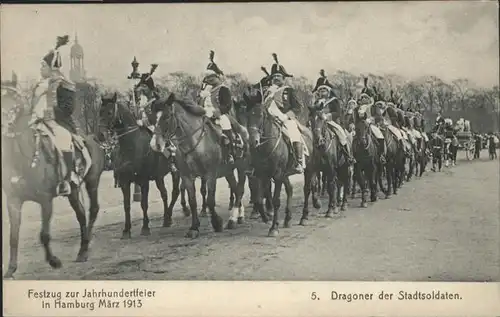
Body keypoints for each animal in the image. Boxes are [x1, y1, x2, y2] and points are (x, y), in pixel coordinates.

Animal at [1, 84, 105, 276]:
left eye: (14, 105)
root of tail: (92, 139)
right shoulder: (13, 201)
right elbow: (13, 236)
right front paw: (11, 269)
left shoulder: (45, 200)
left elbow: (44, 234)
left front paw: (54, 261)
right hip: (73, 190)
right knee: (81, 214)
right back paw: (82, 250)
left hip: (92, 182)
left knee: (93, 210)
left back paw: (85, 248)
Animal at [96, 92, 181, 237]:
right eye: (99, 112)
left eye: (109, 112)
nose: (100, 135)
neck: (131, 146)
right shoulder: (124, 181)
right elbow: (126, 205)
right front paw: (126, 230)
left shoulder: (143, 180)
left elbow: (144, 203)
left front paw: (145, 227)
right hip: (159, 177)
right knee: (164, 194)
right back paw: (166, 219)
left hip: (176, 173)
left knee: (175, 192)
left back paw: (171, 215)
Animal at [149, 92, 249, 237]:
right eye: (151, 118)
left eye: (166, 117)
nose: (155, 145)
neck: (196, 142)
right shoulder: (186, 176)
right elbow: (192, 201)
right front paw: (194, 227)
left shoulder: (210, 175)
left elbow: (210, 200)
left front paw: (217, 223)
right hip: (228, 171)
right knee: (235, 188)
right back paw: (239, 216)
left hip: (241, 167)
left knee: (240, 190)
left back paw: (232, 219)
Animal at [241, 84, 314, 235]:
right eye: (247, 115)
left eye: (261, 115)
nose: (253, 141)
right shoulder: (262, 175)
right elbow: (259, 199)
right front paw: (266, 218)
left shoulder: (278, 175)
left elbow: (275, 201)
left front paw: (274, 227)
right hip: (285, 174)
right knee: (290, 189)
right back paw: (287, 219)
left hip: (308, 169)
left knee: (306, 189)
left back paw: (304, 217)